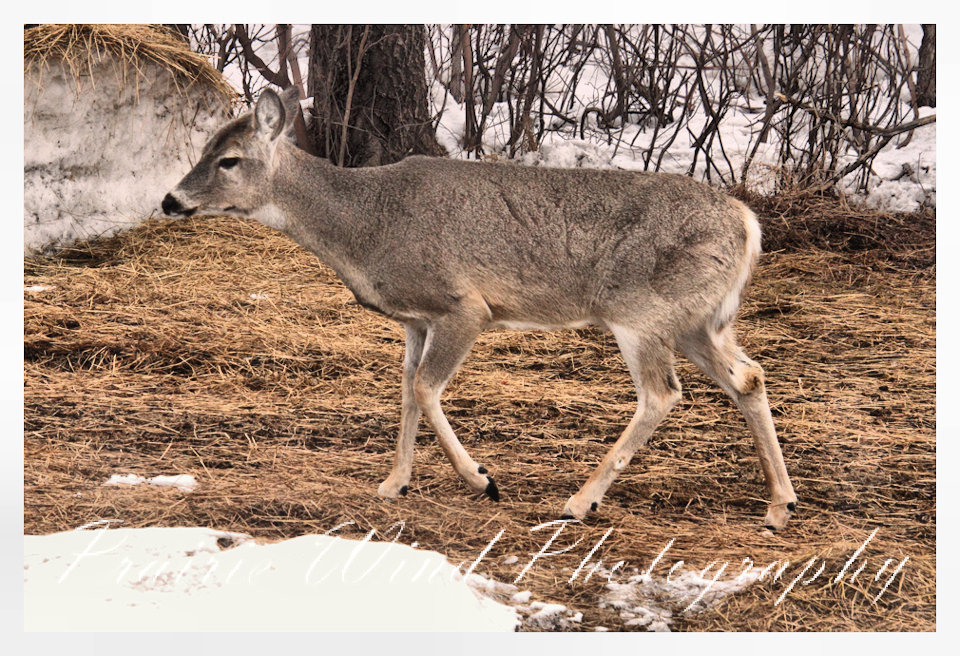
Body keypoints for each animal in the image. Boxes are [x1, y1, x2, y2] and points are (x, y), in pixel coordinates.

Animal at [162, 88, 798, 530]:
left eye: (229, 160)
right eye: (205, 149)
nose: (170, 200)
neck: (363, 226)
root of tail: (748, 223)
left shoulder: (463, 304)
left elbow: (425, 388)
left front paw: (481, 480)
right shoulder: (415, 319)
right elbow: (406, 388)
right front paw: (394, 483)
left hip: (640, 309)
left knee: (662, 394)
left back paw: (579, 501)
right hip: (696, 320)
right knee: (749, 377)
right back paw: (779, 506)